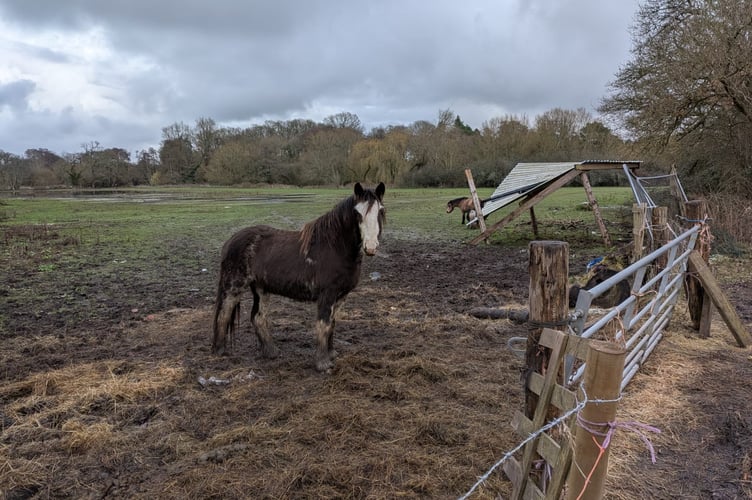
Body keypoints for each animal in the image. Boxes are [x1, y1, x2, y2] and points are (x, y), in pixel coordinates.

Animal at [211, 182, 386, 372]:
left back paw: (271, 352)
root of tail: (231, 241)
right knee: (224, 314)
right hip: (234, 286)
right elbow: (323, 324)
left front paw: (332, 354)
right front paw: (322, 363)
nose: (370, 247)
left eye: (381, 211)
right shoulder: (327, 295)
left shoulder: (341, 296)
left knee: (258, 317)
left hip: (261, 288)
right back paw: (220, 351)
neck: (335, 248)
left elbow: (332, 323)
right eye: (358, 213)